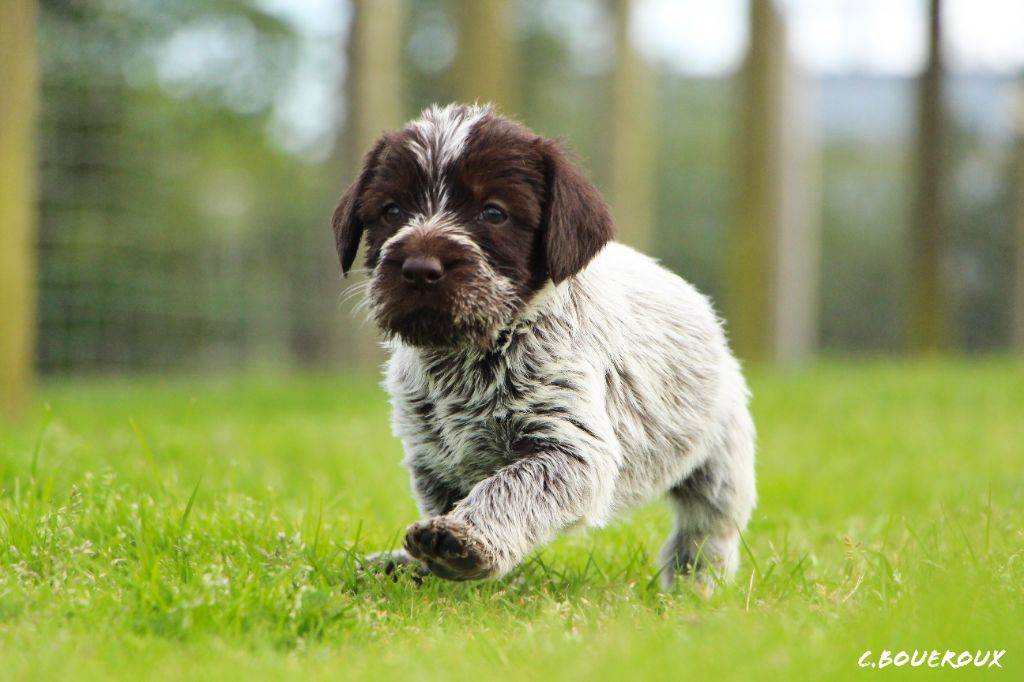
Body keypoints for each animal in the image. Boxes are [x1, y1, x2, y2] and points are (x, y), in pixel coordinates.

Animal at [331, 100, 757, 585]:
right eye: (392, 211)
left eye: (493, 213)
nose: (420, 269)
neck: (473, 353)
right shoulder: (433, 458)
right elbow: (446, 500)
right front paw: (426, 565)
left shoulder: (570, 450)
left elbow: (509, 488)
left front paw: (466, 541)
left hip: (721, 458)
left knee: (708, 528)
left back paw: (695, 583)